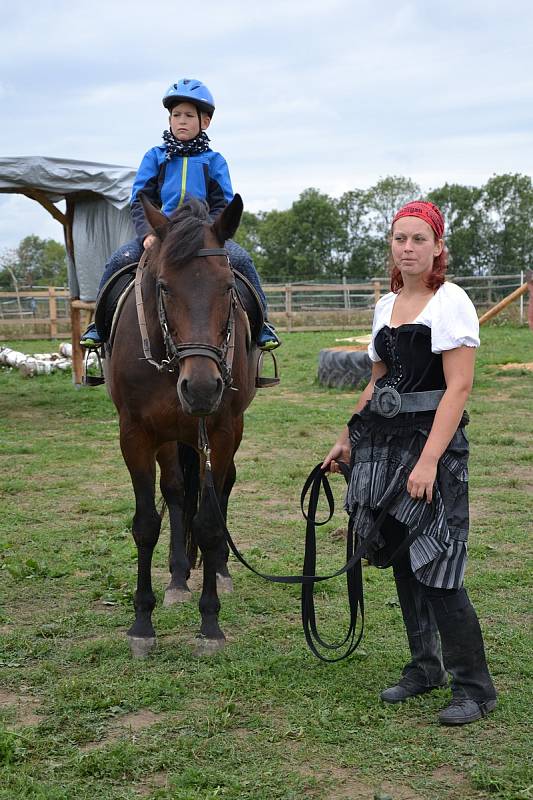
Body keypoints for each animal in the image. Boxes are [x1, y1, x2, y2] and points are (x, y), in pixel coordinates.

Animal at [105, 194, 258, 656]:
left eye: (227, 288)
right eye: (164, 286)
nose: (203, 388)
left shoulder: (221, 432)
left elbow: (208, 524)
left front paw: (210, 625)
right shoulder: (135, 435)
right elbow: (145, 524)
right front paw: (142, 623)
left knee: (220, 492)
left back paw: (220, 573)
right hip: (171, 438)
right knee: (175, 492)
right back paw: (176, 579)